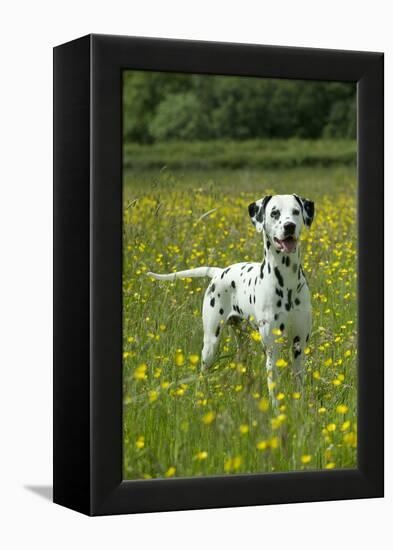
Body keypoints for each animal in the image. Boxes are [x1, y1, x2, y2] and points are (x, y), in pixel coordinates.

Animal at [147, 196, 316, 404]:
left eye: (296, 212)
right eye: (274, 213)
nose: (289, 226)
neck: (287, 282)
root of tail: (218, 271)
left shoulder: (299, 344)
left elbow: (299, 383)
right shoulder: (271, 348)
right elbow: (274, 389)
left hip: (242, 342)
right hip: (210, 344)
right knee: (203, 373)